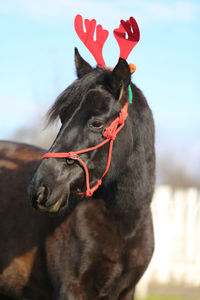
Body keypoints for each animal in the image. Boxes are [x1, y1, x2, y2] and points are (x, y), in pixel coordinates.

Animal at [0, 48, 155, 298]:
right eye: (62, 117)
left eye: (97, 122)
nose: (40, 188)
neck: (124, 223)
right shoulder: (73, 289)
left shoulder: (126, 291)